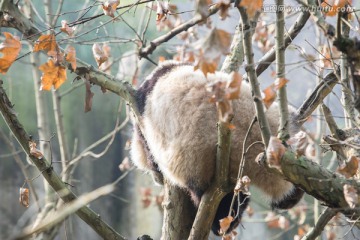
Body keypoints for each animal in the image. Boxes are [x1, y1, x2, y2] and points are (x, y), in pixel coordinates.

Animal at [130, 61, 304, 235]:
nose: (155, 179)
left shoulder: (145, 118)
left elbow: (149, 150)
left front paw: (156, 170)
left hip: (196, 159)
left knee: (217, 201)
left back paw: (220, 224)